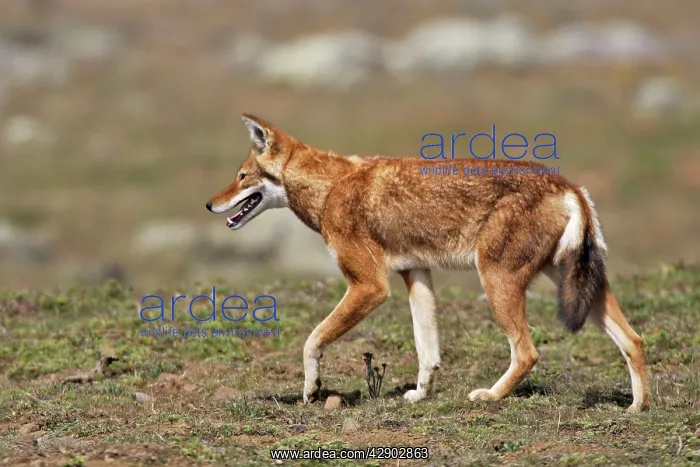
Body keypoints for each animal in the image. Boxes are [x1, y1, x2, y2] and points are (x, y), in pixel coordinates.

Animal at [206, 114, 651, 413]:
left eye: (242, 176)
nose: (210, 204)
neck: (330, 188)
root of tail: (570, 186)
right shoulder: (414, 274)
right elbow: (427, 349)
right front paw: (421, 394)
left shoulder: (369, 286)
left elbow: (312, 339)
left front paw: (312, 389)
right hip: (577, 290)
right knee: (634, 340)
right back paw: (637, 408)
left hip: (497, 281)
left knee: (527, 353)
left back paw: (489, 396)